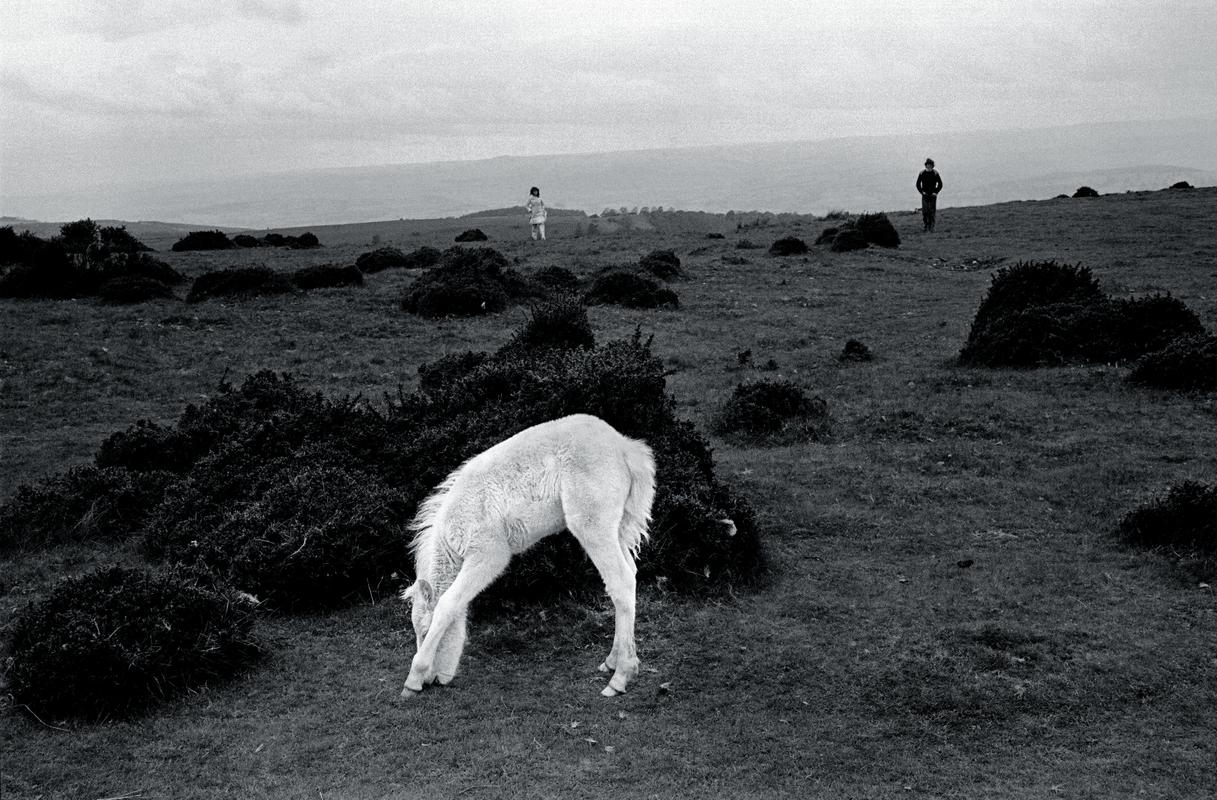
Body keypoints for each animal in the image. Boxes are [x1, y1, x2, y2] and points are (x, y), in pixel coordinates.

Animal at [401, 411, 657, 701]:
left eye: (425, 631)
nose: (431, 680)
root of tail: (626, 448)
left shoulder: (489, 554)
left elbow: (447, 604)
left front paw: (413, 679)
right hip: (618, 527)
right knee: (630, 576)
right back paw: (613, 661)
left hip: (593, 525)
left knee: (621, 582)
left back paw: (620, 676)